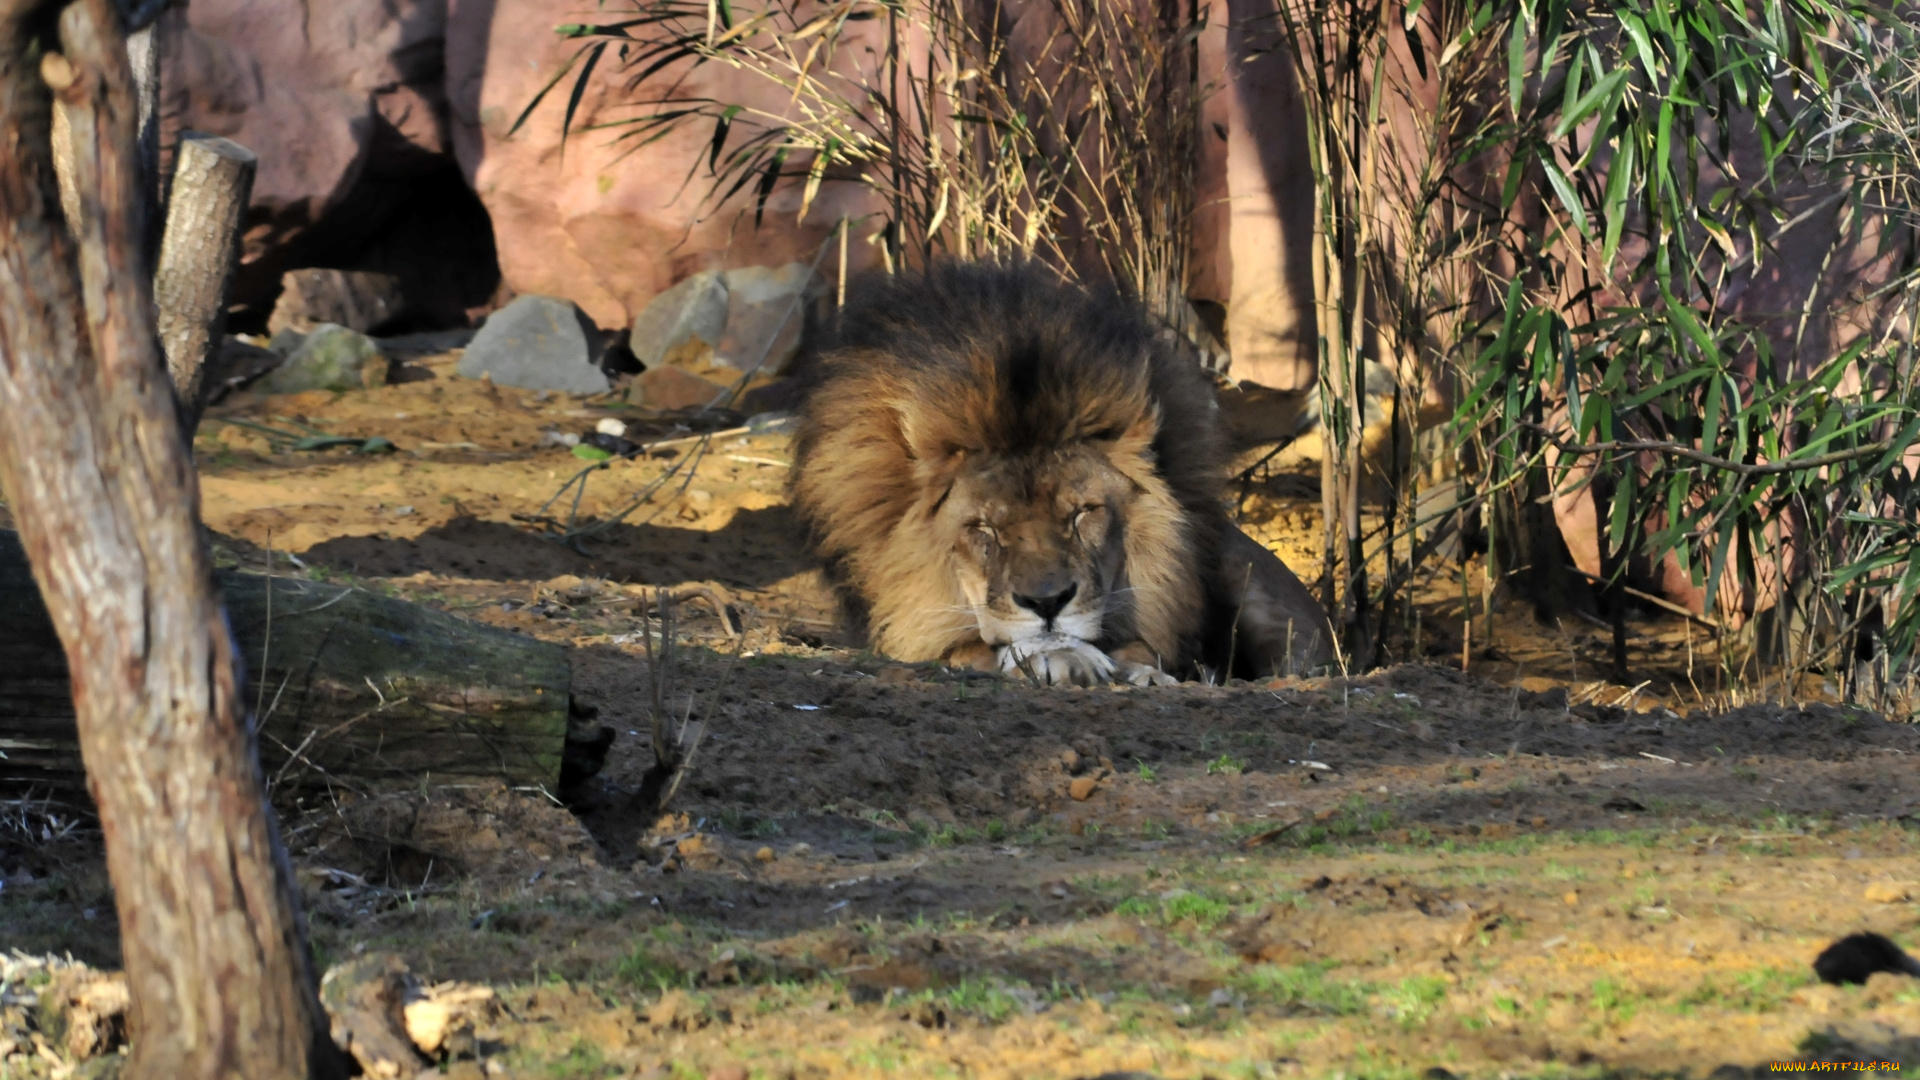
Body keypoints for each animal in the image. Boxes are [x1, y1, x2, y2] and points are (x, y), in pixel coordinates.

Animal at [787, 261, 1328, 680]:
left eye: (1082, 513)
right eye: (983, 528)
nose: (1047, 604)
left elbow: (1144, 646)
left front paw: (1143, 672)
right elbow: (982, 646)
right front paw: (1062, 657)